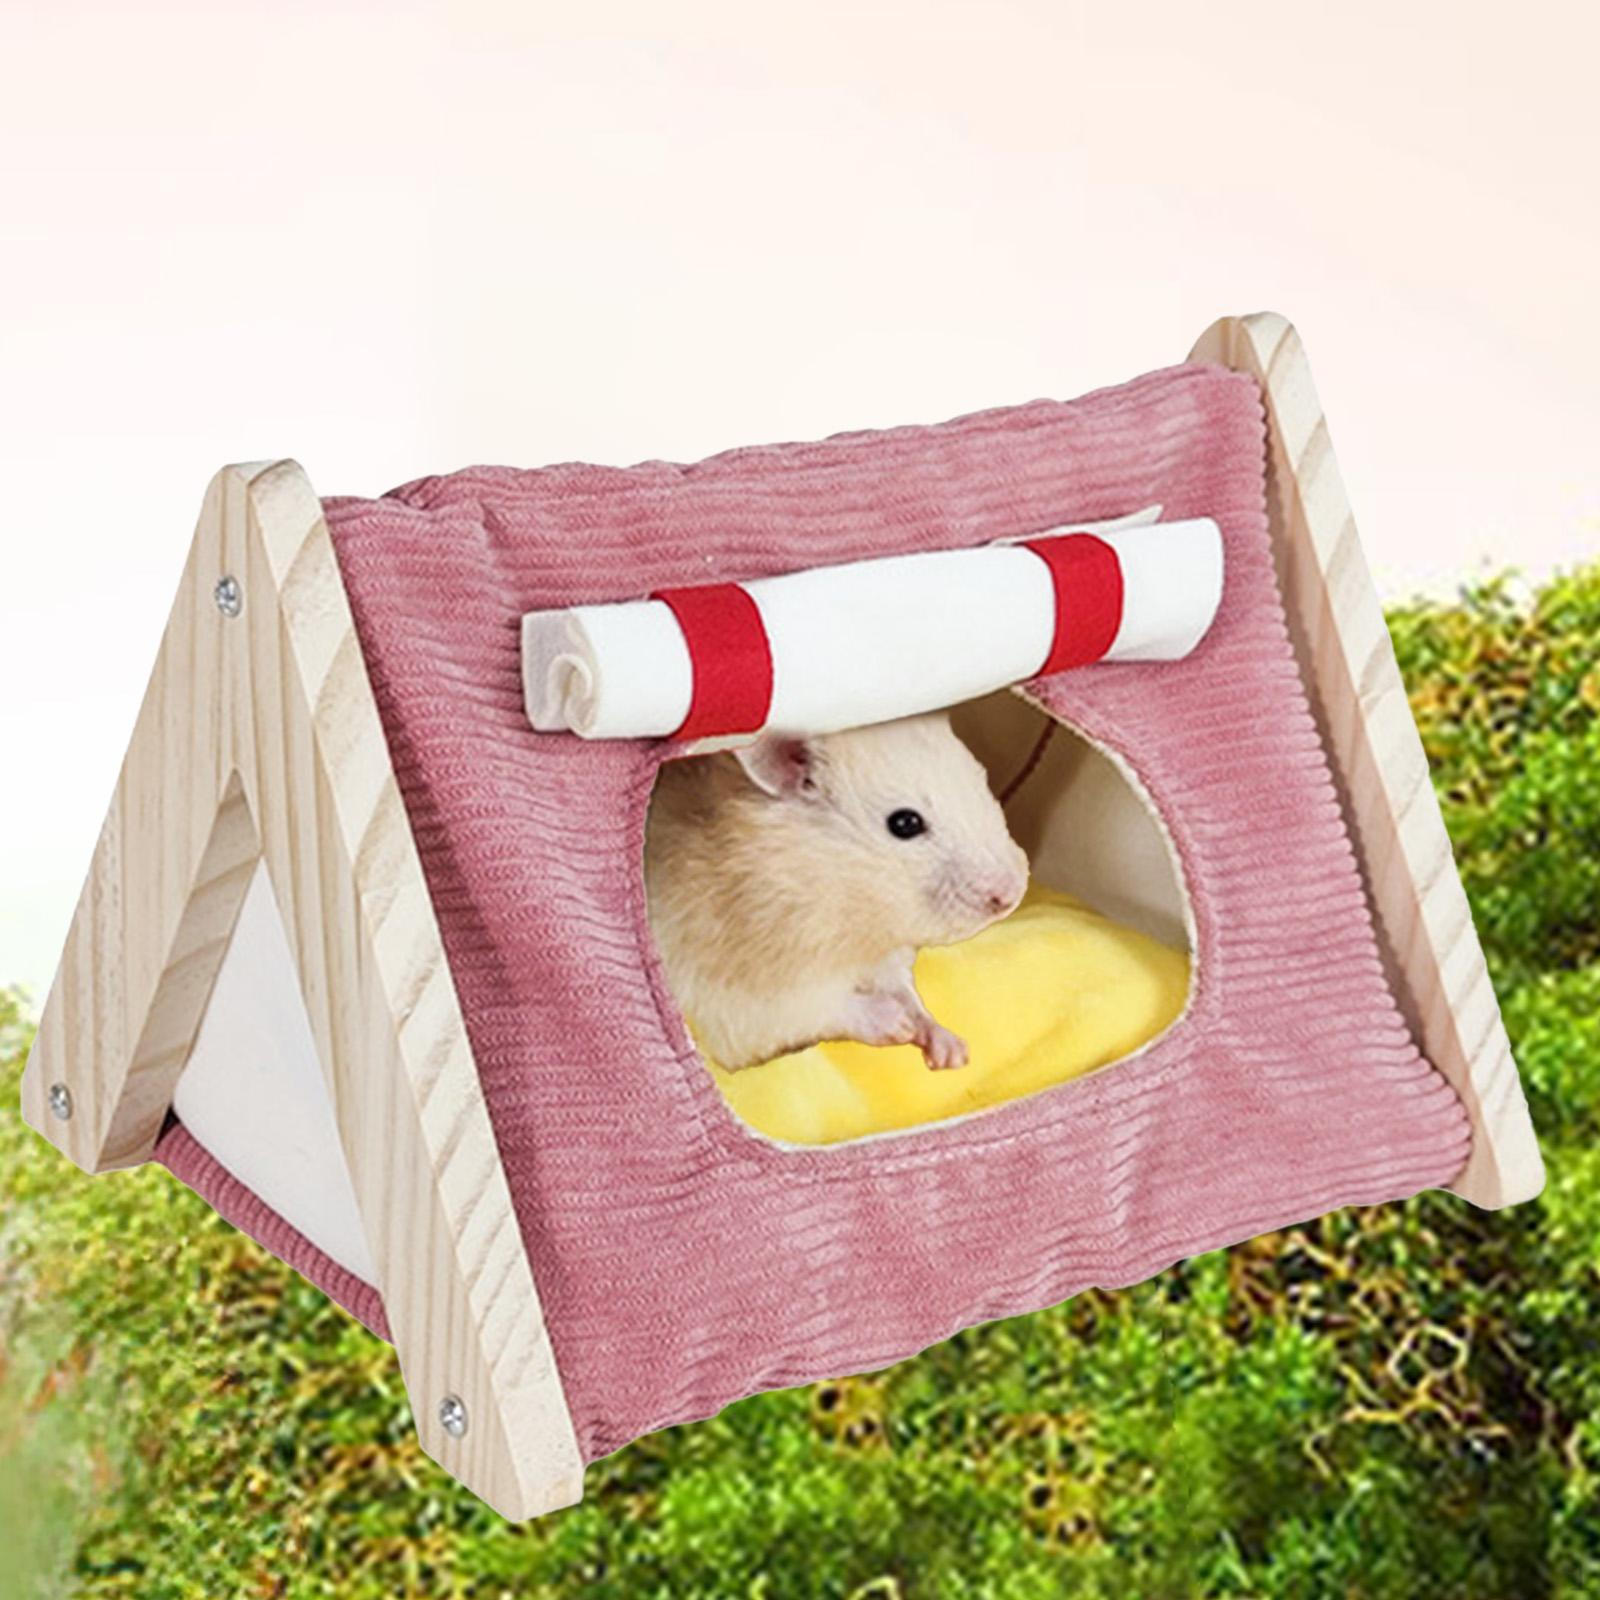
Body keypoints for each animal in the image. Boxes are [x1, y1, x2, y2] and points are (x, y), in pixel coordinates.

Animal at [644, 711, 1030, 1072]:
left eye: (980, 780)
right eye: (905, 823)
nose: (1012, 895)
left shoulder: (885, 959)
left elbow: (908, 992)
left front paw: (952, 1054)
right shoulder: (751, 1002)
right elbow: (831, 1009)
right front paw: (899, 1026)